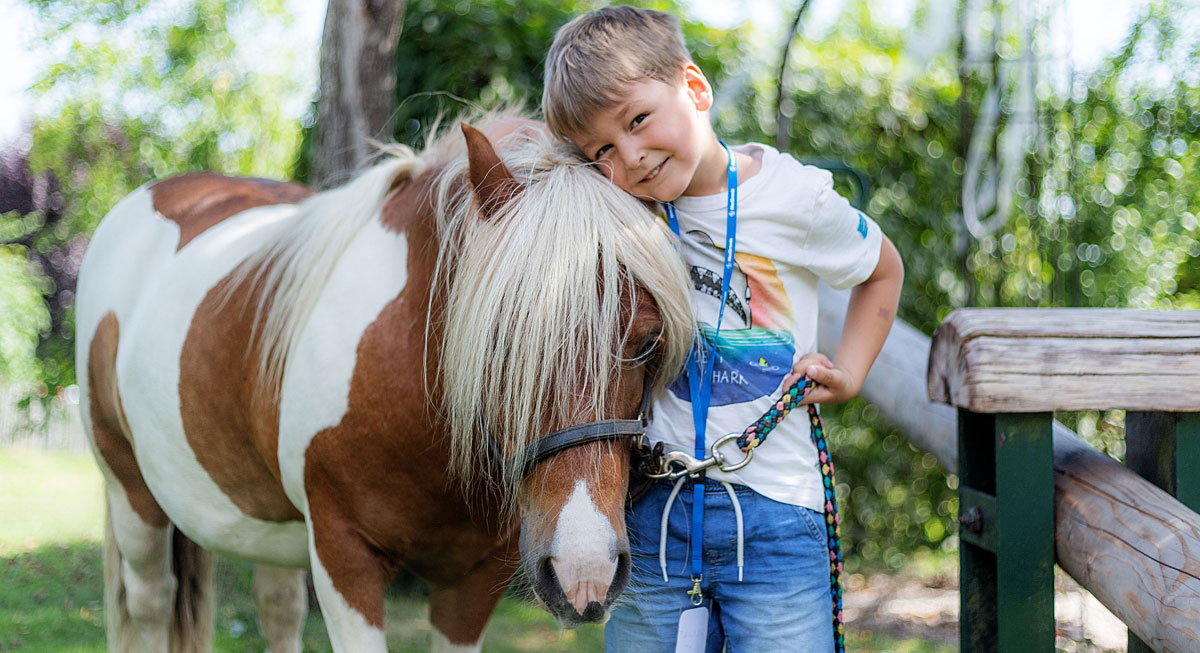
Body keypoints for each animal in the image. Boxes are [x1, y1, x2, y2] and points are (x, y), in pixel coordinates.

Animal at [77, 118, 696, 653]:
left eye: (648, 342)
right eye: (498, 337)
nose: (584, 571)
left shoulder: (473, 581)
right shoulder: (343, 560)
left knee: (277, 608)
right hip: (132, 498)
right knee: (152, 604)